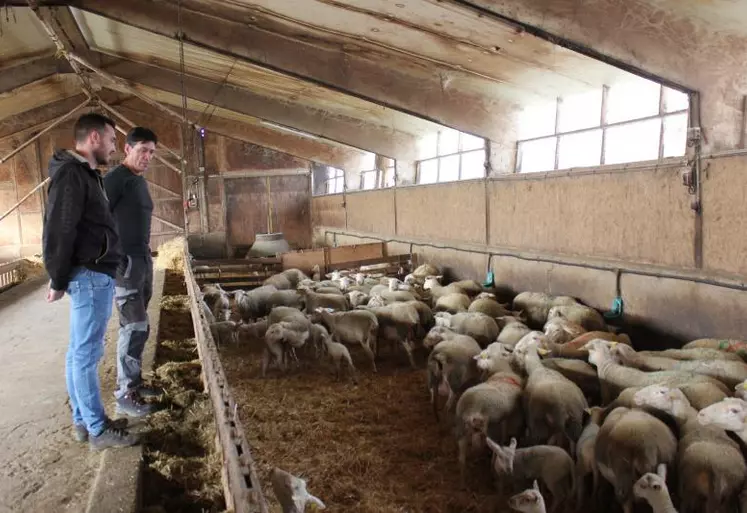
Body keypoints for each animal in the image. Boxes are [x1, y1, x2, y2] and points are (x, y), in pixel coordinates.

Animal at [636, 384, 744, 512]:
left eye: (661, 392)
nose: (636, 396)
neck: (689, 418)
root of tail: (716, 470)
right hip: (729, 497)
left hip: (690, 490)